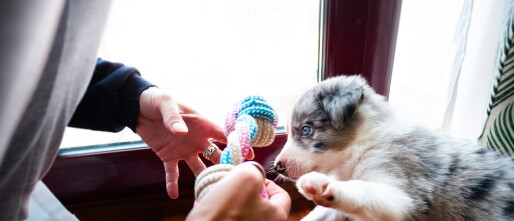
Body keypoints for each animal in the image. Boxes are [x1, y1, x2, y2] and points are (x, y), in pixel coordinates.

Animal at [274, 76, 512, 221]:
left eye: (306, 130)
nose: (277, 167)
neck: (365, 144)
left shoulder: (402, 195)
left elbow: (362, 189)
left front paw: (322, 186)